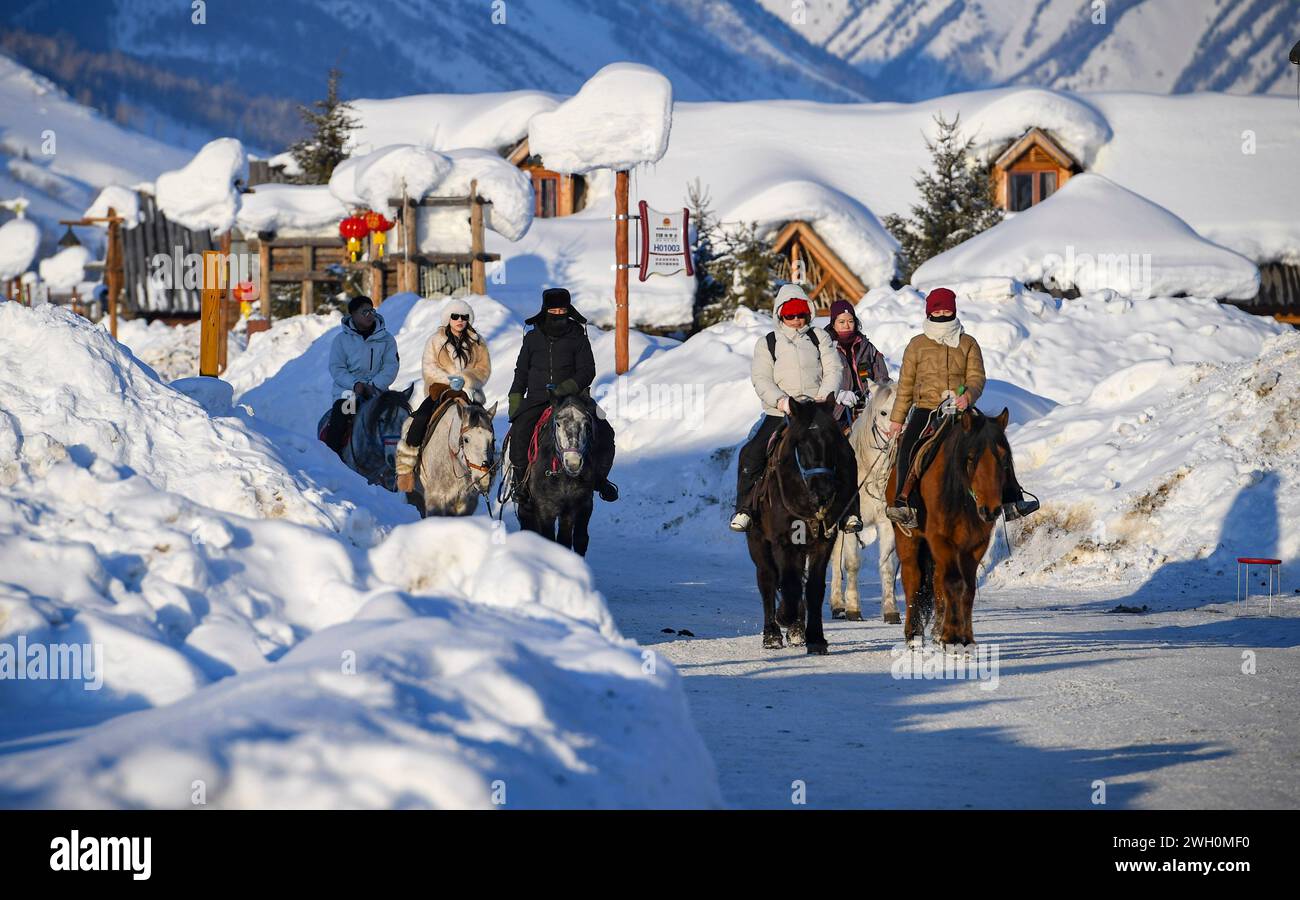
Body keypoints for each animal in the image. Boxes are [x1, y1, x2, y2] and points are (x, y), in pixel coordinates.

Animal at [826, 382, 899, 626]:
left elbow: (887, 566)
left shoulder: (886, 522)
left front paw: (891, 611)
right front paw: (853, 609)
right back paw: (838, 604)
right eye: (883, 412)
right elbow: (852, 564)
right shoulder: (850, 523)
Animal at [889, 408, 1008, 652]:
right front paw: (952, 637)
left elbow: (968, 587)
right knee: (912, 577)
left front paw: (966, 637)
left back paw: (936, 632)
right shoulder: (940, 539)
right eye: (971, 458)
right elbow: (954, 582)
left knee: (936, 580)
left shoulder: (976, 544)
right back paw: (913, 634)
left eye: (1003, 458)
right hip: (908, 540)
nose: (991, 510)